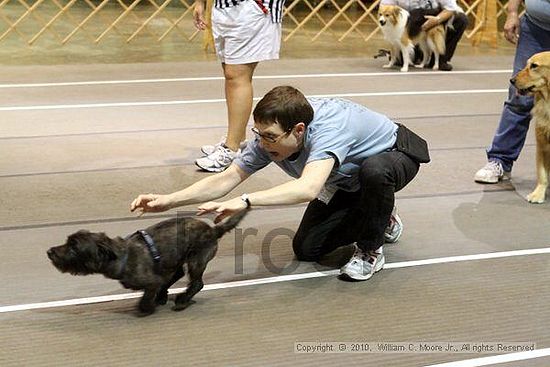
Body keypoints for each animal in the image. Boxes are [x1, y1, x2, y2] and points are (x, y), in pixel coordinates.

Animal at [47, 210, 250, 316]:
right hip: (175, 258)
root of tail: (213, 230)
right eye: (67, 241)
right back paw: (164, 297)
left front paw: (146, 308)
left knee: (197, 283)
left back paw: (182, 301)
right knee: (178, 275)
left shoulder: (151, 282)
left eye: (74, 248)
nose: (49, 252)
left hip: (196, 259)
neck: (122, 256)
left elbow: (146, 298)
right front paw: (156, 300)